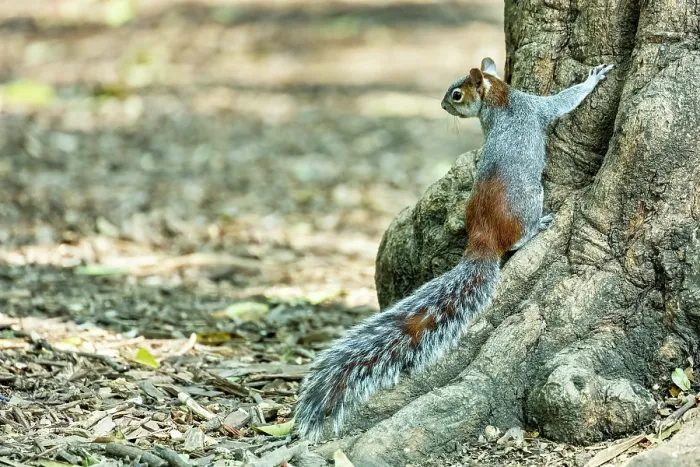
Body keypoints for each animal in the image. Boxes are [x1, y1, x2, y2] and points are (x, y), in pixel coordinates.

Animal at [294, 57, 614, 441]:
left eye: (456, 93)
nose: (443, 105)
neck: (500, 98)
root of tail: (483, 239)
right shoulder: (536, 108)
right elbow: (566, 101)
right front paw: (592, 79)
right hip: (531, 200)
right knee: (519, 238)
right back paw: (538, 227)